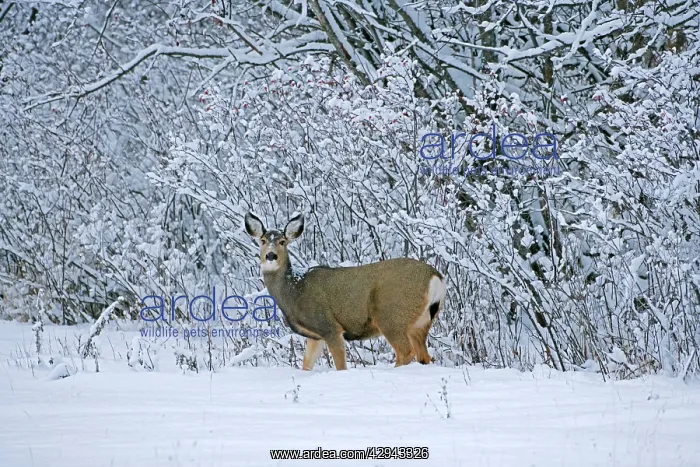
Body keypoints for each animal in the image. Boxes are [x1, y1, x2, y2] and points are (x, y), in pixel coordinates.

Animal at [244, 212, 446, 371]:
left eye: (282, 241)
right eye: (262, 241)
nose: (271, 255)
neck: (295, 290)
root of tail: (436, 278)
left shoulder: (329, 327)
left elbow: (340, 366)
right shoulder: (315, 336)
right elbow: (306, 365)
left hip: (391, 316)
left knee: (405, 352)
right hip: (420, 323)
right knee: (424, 357)